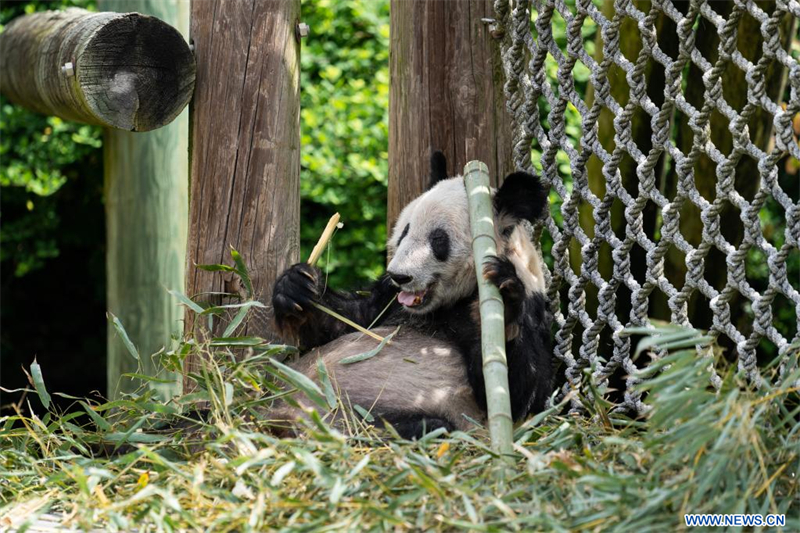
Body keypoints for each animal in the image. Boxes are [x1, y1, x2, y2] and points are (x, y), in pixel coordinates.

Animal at [268, 153, 552, 436]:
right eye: (404, 231)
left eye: (438, 240)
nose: (399, 276)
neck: (448, 303)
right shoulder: (388, 299)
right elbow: (349, 320)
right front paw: (296, 286)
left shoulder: (534, 307)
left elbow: (519, 395)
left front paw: (505, 300)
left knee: (423, 426)